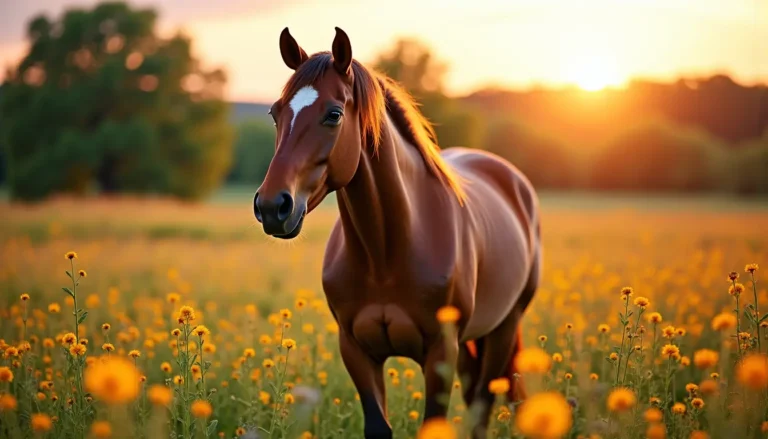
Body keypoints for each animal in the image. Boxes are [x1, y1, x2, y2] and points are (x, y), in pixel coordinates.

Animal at [253, 27, 541, 439]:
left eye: (334, 114)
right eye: (275, 113)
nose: (272, 207)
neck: (385, 252)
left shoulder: (441, 352)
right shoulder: (356, 349)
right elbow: (378, 426)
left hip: (503, 328)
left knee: (483, 406)